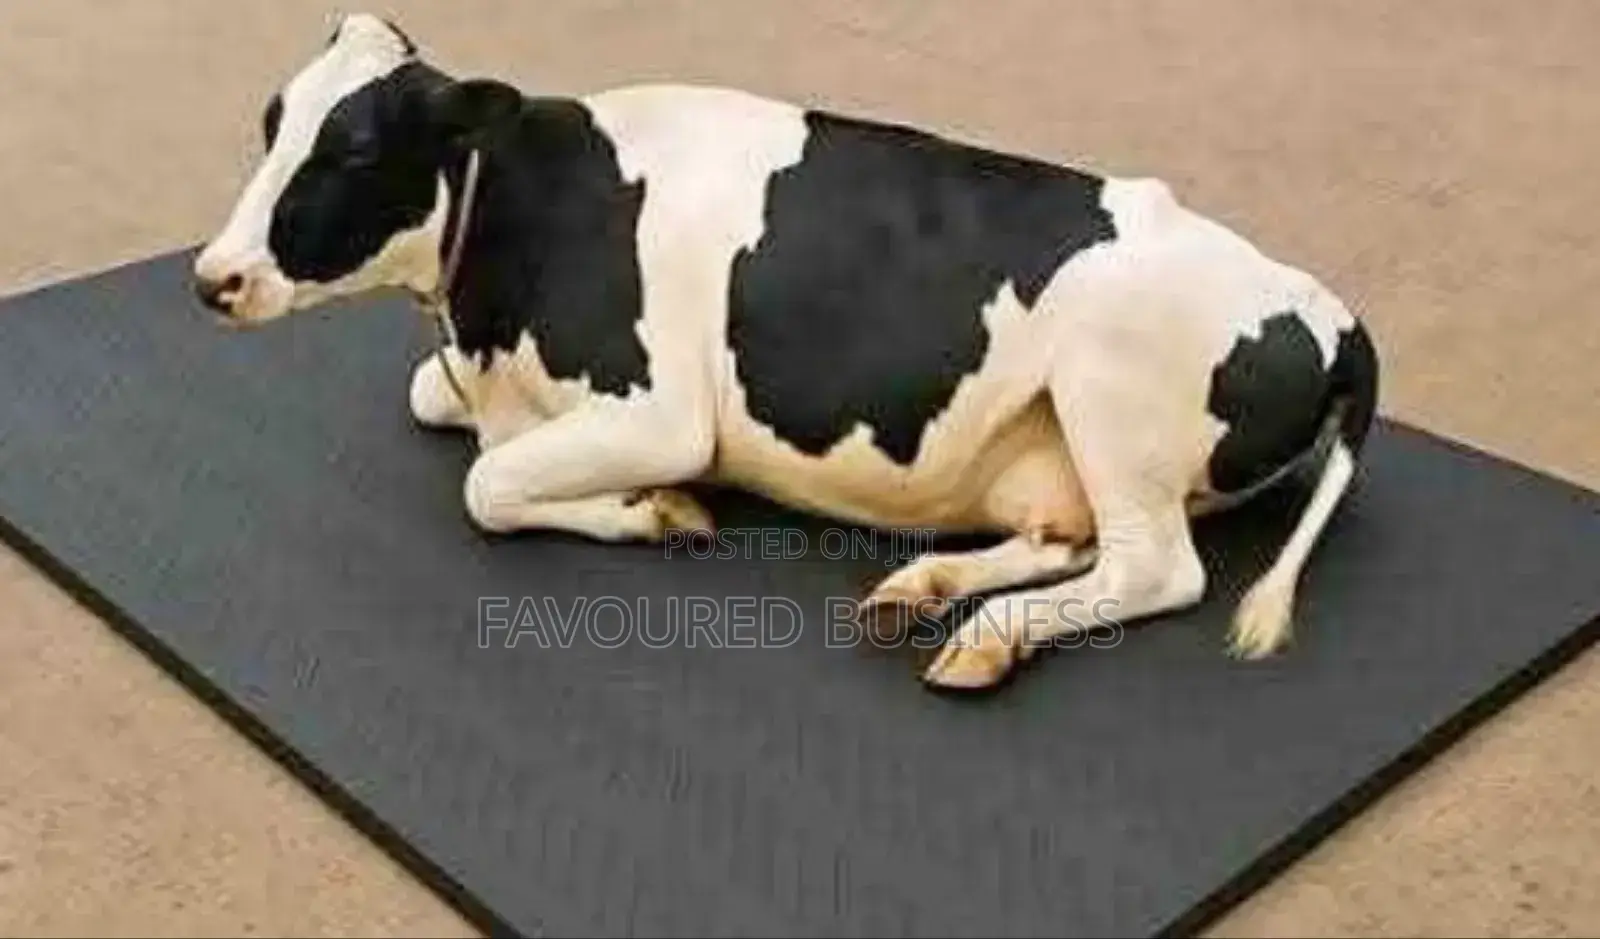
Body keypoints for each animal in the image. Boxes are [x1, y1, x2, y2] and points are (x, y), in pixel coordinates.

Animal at [191, 14, 1379, 691]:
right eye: (271, 123)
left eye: (351, 150)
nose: (213, 277)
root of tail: (1327, 307)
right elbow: (429, 405)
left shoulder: (661, 412)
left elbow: (487, 486)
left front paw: (655, 511)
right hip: (1062, 459)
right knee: (1067, 535)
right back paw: (926, 588)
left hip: (1111, 386)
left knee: (1157, 567)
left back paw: (991, 634)